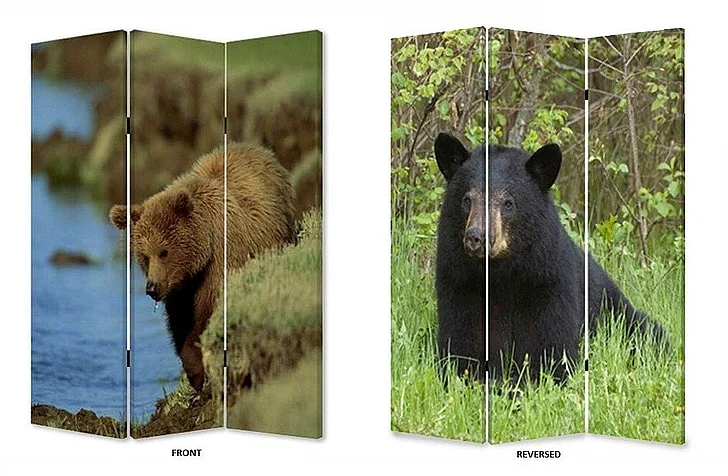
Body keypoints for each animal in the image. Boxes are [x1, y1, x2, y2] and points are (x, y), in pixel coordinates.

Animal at [109, 143, 297, 392]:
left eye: (163, 251)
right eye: (144, 256)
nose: (152, 288)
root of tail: (260, 150)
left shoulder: (220, 264)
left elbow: (206, 316)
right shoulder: (180, 291)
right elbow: (181, 325)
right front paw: (195, 373)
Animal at [434, 132, 668, 385]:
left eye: (508, 203)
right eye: (467, 199)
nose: (476, 237)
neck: (500, 273)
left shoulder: (547, 281)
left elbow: (553, 348)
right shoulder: (459, 281)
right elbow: (460, 343)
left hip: (618, 312)